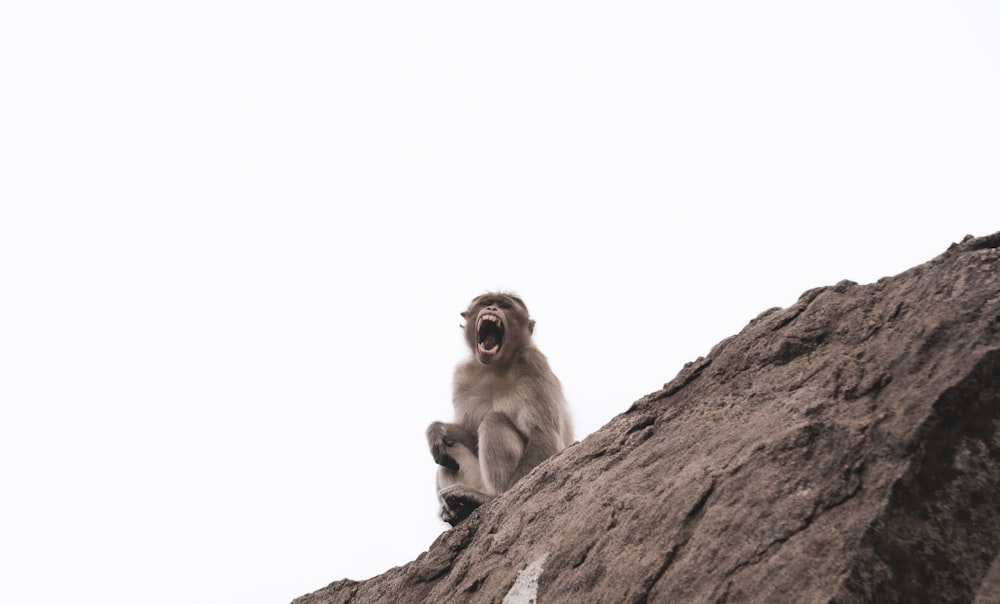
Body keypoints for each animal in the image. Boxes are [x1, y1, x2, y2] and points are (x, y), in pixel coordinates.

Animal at [426, 292, 576, 524]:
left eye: (505, 305)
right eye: (487, 303)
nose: (493, 309)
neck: (495, 368)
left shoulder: (532, 362)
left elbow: (543, 433)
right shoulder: (463, 375)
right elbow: (469, 436)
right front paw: (436, 430)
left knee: (493, 420)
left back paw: (487, 498)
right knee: (450, 449)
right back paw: (458, 510)